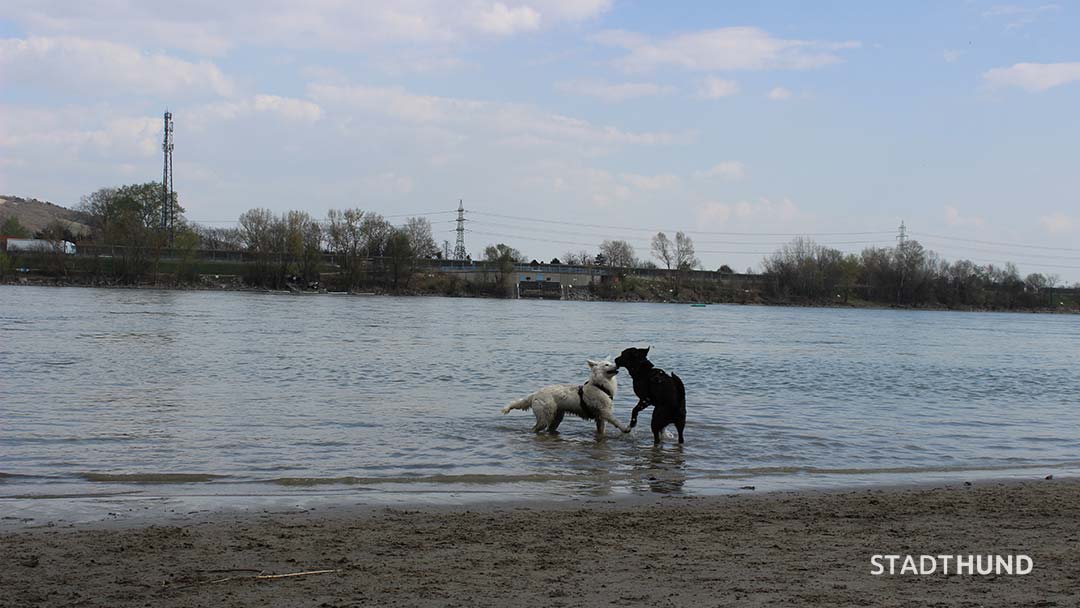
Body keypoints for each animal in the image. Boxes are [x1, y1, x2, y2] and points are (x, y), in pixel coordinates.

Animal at [498, 358, 630, 436]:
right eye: (607, 365)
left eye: (612, 363)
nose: (617, 365)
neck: (600, 385)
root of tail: (535, 394)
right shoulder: (604, 412)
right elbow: (616, 420)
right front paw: (625, 428)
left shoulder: (600, 418)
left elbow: (601, 431)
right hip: (545, 417)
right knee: (535, 429)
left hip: (556, 417)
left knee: (549, 429)